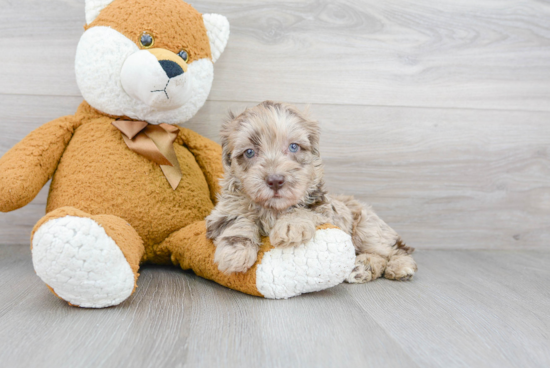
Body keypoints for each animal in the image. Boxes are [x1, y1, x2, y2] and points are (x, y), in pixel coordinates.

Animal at [207, 102, 418, 284]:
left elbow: (304, 211)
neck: (273, 209)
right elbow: (238, 220)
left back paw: (398, 267)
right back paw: (361, 269)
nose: (275, 180)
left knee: (394, 251)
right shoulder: (221, 213)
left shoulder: (324, 209)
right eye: (250, 152)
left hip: (368, 229)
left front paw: (290, 226)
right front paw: (235, 252)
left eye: (293, 147)